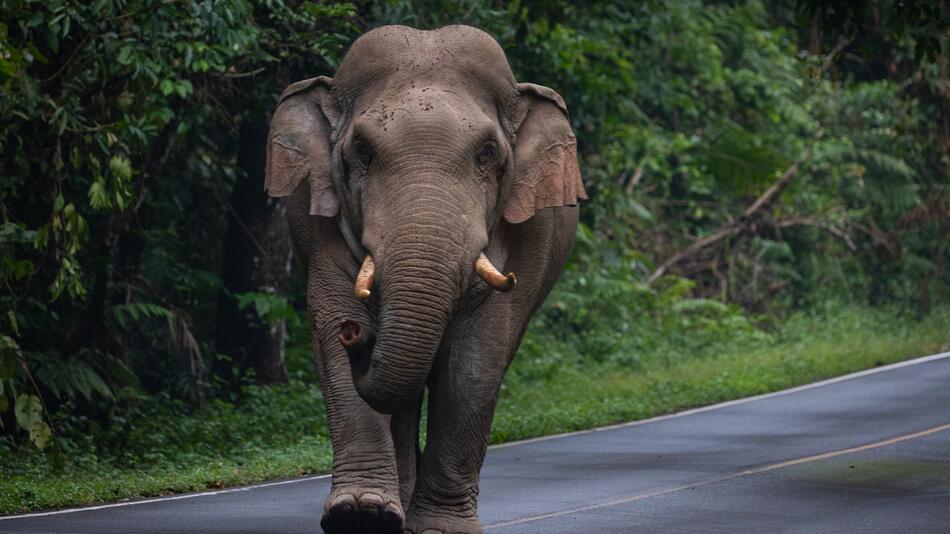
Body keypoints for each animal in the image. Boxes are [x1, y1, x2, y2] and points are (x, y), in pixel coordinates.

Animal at [265, 24, 586, 534]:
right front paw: (361, 514)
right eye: (362, 152)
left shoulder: (526, 234)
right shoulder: (318, 223)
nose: (359, 335)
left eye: (487, 153)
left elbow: (474, 360)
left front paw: (439, 528)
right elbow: (331, 324)